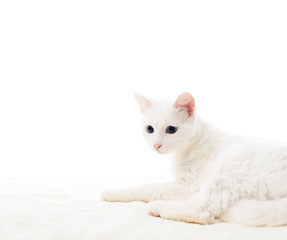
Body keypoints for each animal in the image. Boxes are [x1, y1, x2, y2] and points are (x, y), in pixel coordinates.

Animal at [101, 93, 287, 226]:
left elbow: (144, 187)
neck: (195, 141)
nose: (156, 145)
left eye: (171, 129)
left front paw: (112, 192)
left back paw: (157, 208)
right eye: (149, 129)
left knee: (202, 210)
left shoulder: (184, 187)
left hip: (229, 169)